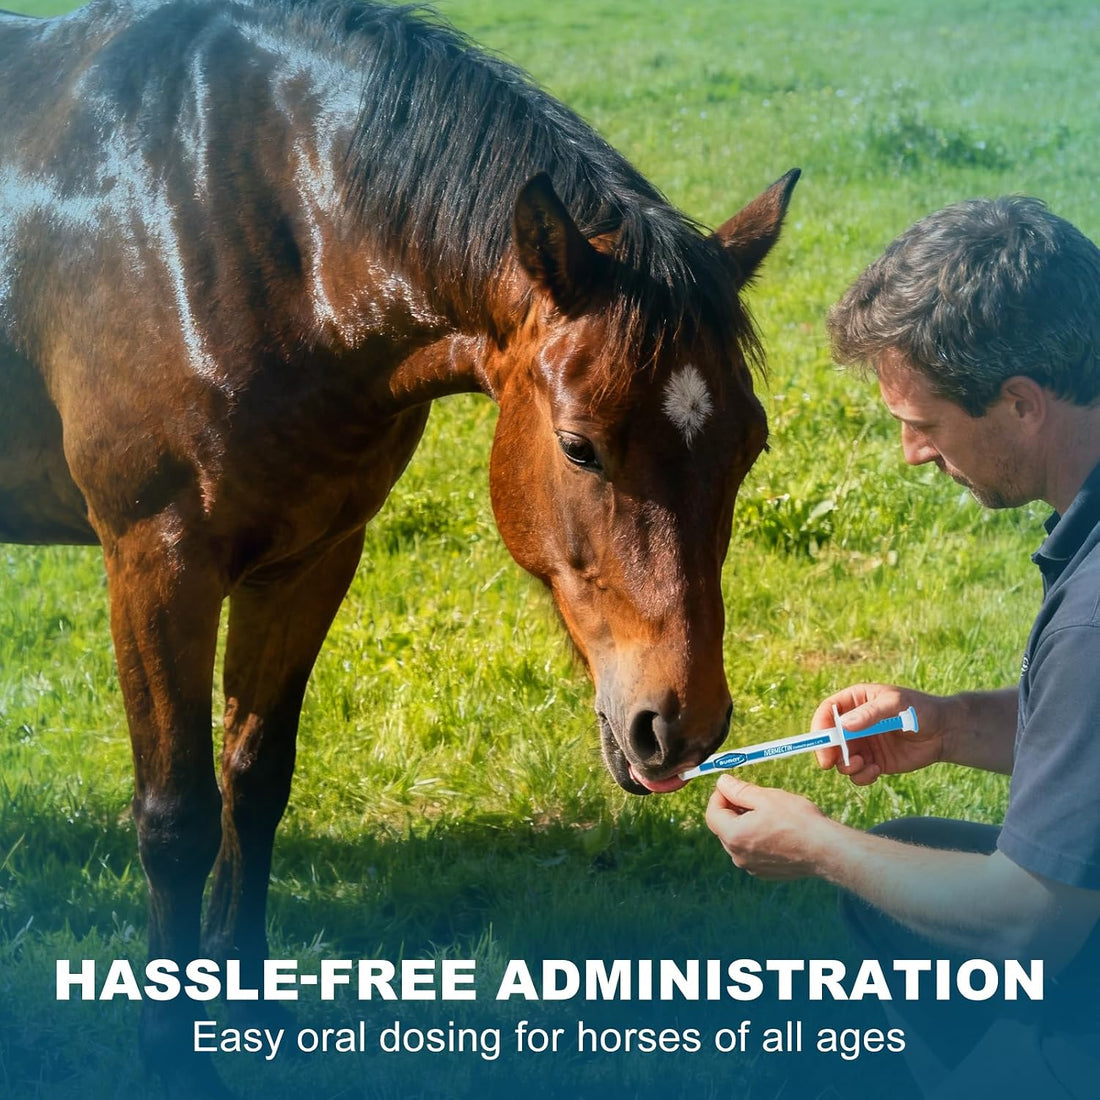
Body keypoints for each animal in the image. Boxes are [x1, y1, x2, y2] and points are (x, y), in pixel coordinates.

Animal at [0, 0, 796, 1090]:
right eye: (579, 445)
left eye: (748, 443)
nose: (679, 723)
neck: (221, 215)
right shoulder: (156, 563)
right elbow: (176, 815)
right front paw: (174, 1055)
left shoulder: (312, 555)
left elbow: (256, 779)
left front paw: (241, 1002)